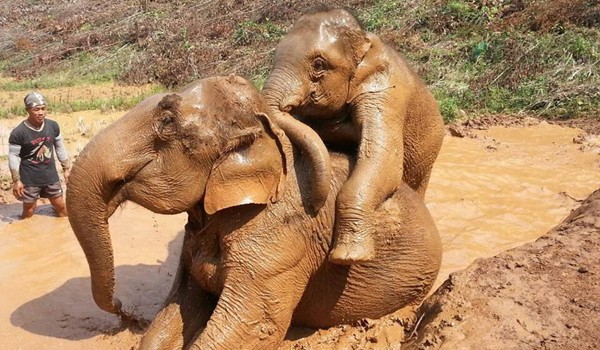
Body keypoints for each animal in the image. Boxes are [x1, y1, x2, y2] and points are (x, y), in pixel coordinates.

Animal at [262, 6, 446, 266]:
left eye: (319, 64)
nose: (313, 207)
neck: (363, 43)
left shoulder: (386, 92)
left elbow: (383, 161)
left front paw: (348, 257)